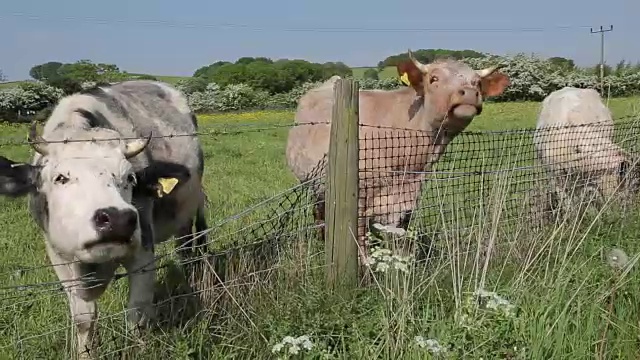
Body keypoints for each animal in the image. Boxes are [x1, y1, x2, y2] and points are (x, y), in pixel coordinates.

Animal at [0, 80, 208, 358]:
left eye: (130, 178)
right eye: (60, 178)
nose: (117, 219)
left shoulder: (143, 251)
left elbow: (138, 313)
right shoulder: (59, 258)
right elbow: (84, 319)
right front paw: (85, 353)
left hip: (188, 214)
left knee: (188, 249)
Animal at [284, 50, 510, 264]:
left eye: (477, 82)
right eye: (434, 78)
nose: (470, 93)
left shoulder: (409, 195)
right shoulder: (359, 198)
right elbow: (360, 243)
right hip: (315, 184)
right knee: (320, 213)